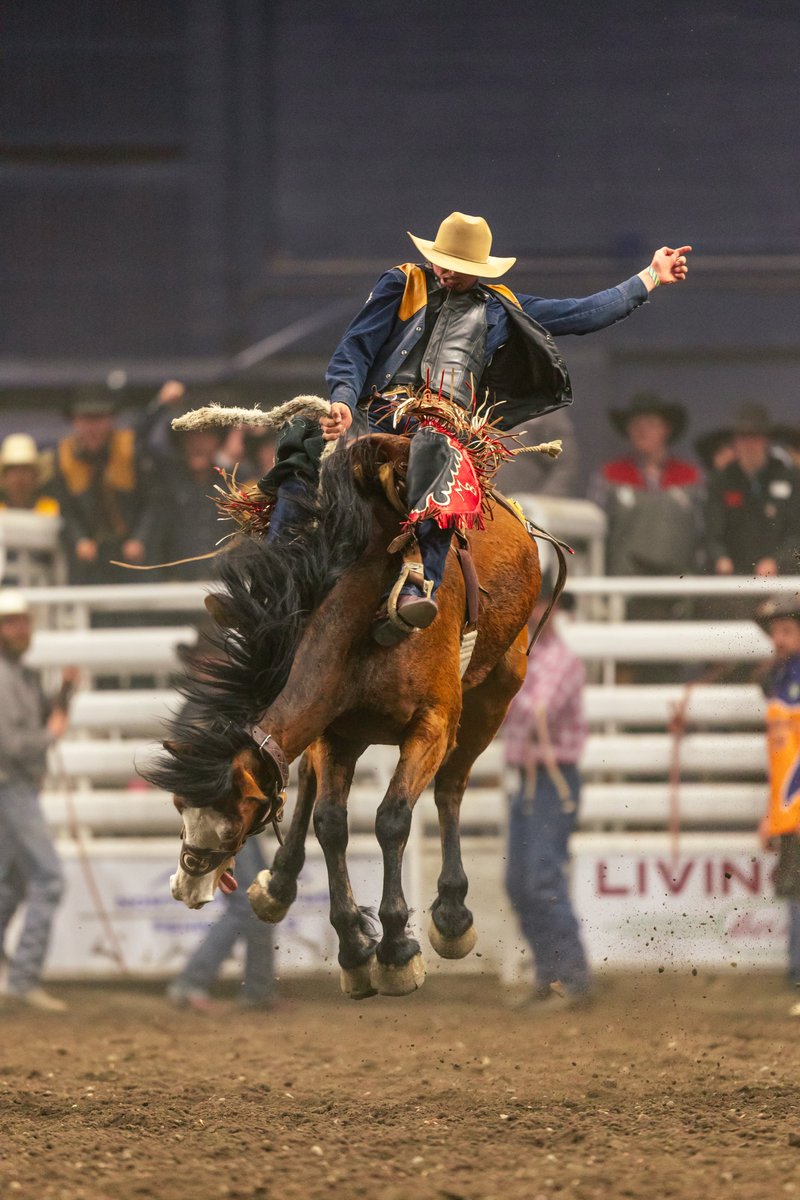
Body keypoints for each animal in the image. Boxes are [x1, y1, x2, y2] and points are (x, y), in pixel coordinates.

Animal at [143, 398, 546, 998]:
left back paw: (452, 915)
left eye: (235, 820)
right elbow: (331, 821)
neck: (363, 619)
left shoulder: (433, 723)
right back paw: (279, 885)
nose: (186, 888)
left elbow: (393, 819)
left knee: (450, 788)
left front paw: (398, 949)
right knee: (313, 791)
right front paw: (357, 950)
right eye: (178, 808)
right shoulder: (334, 734)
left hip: (496, 692)